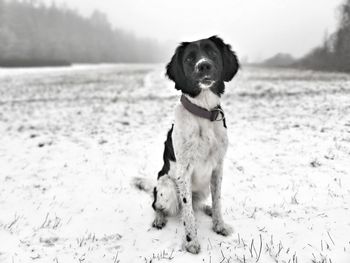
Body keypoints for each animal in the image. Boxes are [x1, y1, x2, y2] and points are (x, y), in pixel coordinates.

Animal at [134, 36, 238, 255]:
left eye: (212, 52)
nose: (204, 65)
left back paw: (206, 209)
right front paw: (191, 242)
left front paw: (219, 225)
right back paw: (159, 219)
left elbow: (217, 201)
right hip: (166, 186)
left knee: (199, 204)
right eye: (190, 59)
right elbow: (187, 212)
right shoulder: (184, 172)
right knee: (158, 205)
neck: (204, 111)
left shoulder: (218, 168)